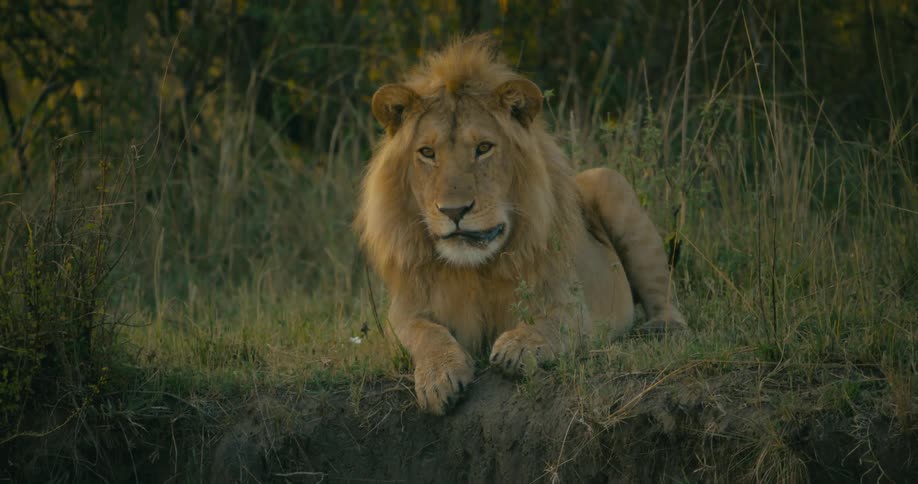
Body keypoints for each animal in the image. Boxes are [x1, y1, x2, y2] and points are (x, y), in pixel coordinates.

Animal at [355, 35, 686, 415]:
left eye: (484, 148)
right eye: (427, 153)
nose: (454, 210)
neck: (475, 271)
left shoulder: (572, 303)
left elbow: (553, 324)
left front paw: (519, 346)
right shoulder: (405, 311)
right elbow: (426, 332)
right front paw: (439, 376)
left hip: (610, 182)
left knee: (666, 297)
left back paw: (661, 328)